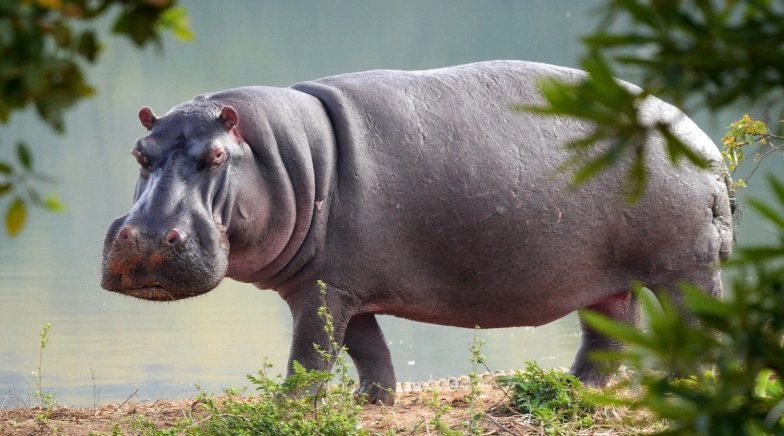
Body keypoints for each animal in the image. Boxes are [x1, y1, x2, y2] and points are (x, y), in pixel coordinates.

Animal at [101, 60, 735, 405]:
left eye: (214, 156)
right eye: (139, 151)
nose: (146, 240)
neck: (283, 156)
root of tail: (702, 140)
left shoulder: (325, 290)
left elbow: (310, 353)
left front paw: (288, 408)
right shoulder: (339, 284)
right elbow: (367, 349)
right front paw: (372, 403)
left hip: (686, 268)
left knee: (697, 326)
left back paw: (686, 385)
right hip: (608, 279)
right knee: (608, 336)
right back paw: (569, 388)